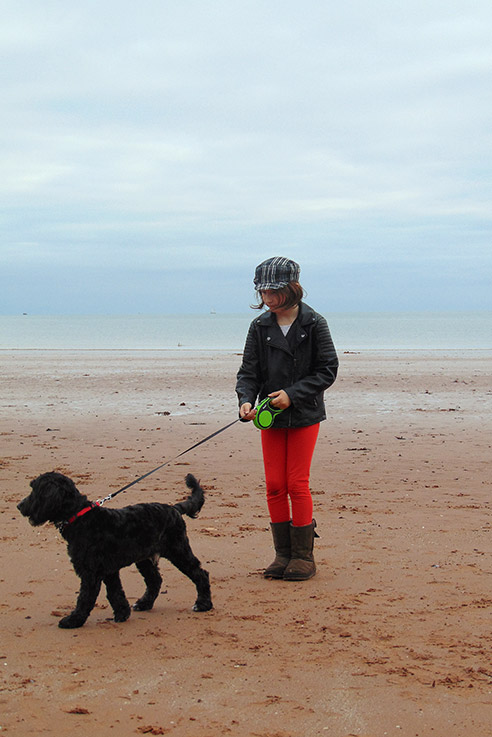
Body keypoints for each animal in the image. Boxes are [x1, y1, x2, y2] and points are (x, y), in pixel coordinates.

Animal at [16, 472, 213, 628]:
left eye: (35, 490)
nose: (19, 505)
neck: (80, 518)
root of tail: (174, 509)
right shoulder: (108, 570)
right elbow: (115, 592)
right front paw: (122, 613)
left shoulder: (90, 572)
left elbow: (85, 598)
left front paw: (73, 621)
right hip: (144, 559)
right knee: (155, 580)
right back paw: (144, 604)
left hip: (178, 551)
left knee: (200, 574)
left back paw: (203, 604)